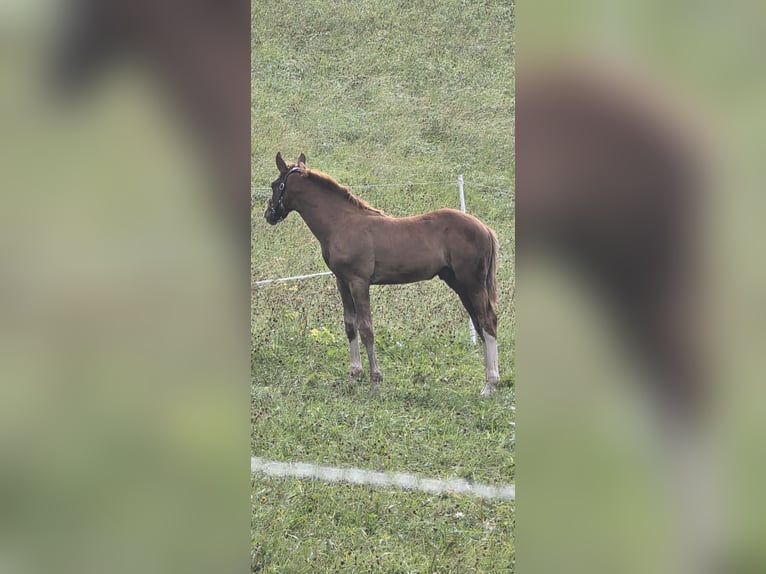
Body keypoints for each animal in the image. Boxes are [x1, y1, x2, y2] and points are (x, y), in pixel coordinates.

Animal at [264, 152, 501, 396]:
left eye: (274, 184)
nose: (268, 214)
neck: (342, 223)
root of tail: (485, 228)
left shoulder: (359, 282)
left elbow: (366, 328)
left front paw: (375, 380)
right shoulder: (342, 282)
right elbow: (350, 325)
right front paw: (354, 375)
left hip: (472, 283)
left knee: (487, 322)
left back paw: (490, 386)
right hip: (458, 283)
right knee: (480, 323)